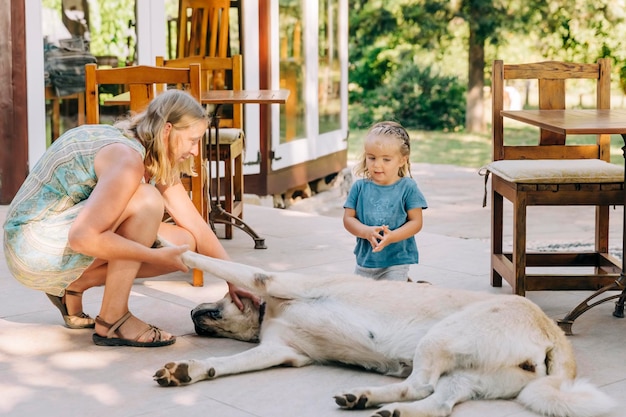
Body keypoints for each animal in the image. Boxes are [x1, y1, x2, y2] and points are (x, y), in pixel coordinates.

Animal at [154, 249, 612, 416]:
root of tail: (552, 330)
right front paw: (192, 370)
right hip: (468, 374)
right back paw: (374, 402)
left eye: (216, 302)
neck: (271, 311)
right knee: (438, 402)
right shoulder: (280, 351)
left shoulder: (272, 280)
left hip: (440, 338)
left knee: (420, 385)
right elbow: (224, 364)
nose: (191, 315)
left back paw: (371, 399)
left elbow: (212, 260)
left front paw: (173, 247)